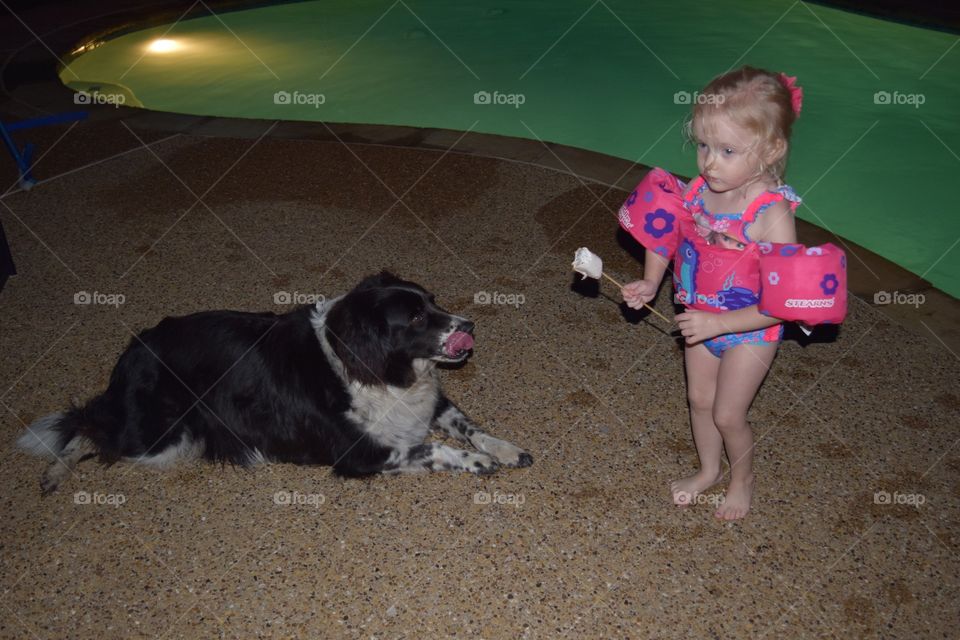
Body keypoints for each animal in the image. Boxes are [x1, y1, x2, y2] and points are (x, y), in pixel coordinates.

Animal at [16, 272, 532, 492]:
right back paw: (55, 471)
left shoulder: (427, 403)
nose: (469, 325)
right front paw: (475, 461)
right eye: (419, 317)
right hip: (159, 437)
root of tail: (132, 350)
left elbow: (468, 426)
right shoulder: (360, 454)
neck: (367, 365)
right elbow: (435, 447)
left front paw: (504, 449)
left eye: (433, 299)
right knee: (87, 425)